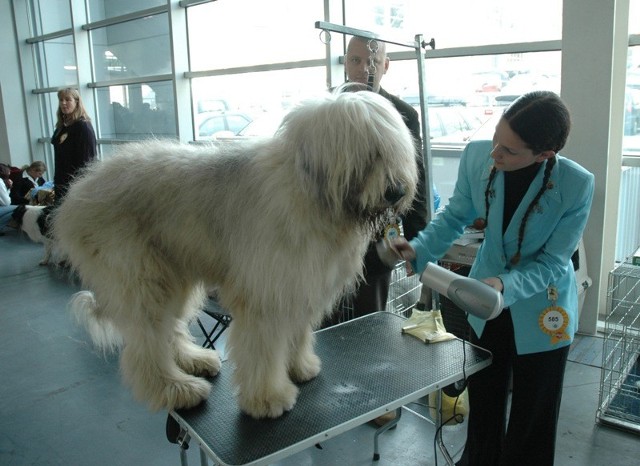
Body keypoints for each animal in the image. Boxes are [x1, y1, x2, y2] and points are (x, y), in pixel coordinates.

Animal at [52, 90, 418, 418]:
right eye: (370, 154)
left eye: (395, 150)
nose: (397, 191)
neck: (311, 196)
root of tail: (75, 197)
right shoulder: (266, 292)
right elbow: (264, 348)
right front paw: (268, 398)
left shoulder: (301, 282)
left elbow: (297, 331)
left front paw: (300, 366)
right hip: (139, 277)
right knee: (146, 346)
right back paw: (176, 388)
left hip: (174, 276)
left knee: (170, 329)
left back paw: (195, 360)